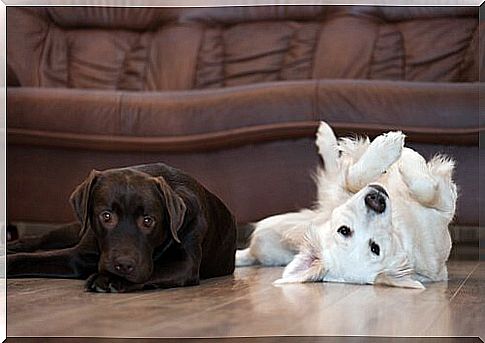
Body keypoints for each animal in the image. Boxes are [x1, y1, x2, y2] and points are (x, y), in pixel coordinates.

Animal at [6, 164, 236, 292]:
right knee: (40, 240)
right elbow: (27, 259)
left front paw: (108, 279)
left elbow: (153, 270)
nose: (124, 265)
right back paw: (11, 245)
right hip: (73, 230)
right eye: (106, 216)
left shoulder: (185, 264)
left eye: (148, 221)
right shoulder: (76, 256)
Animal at [236, 122, 456, 288]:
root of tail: (252, 252)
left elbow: (354, 178)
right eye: (375, 248)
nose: (376, 201)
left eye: (344, 230)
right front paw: (394, 150)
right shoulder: (445, 205)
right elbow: (426, 187)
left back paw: (325, 136)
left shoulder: (346, 191)